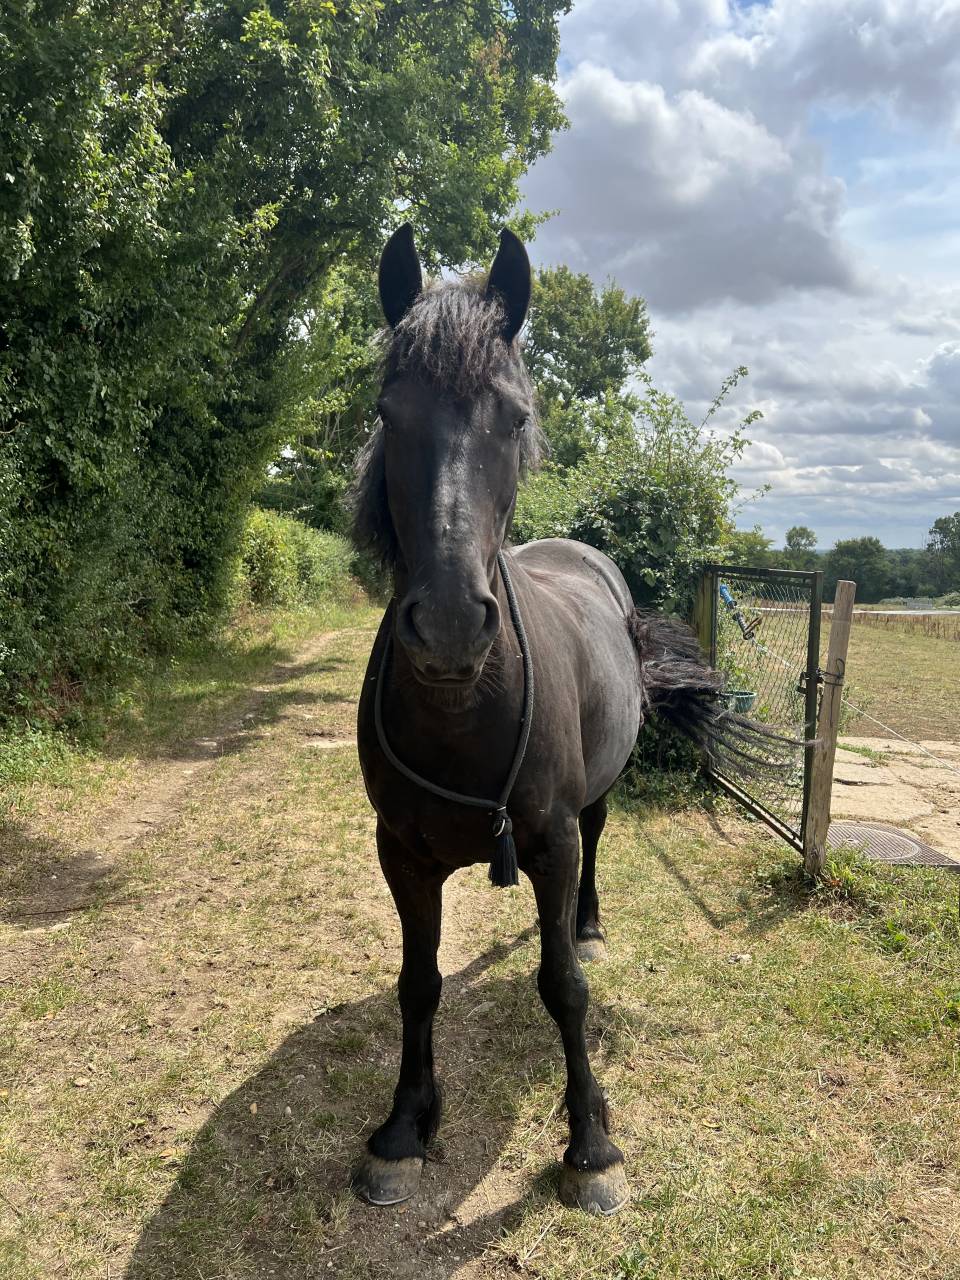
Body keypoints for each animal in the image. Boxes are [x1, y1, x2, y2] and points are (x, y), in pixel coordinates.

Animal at [350, 224, 782, 1215]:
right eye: (391, 413)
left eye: (512, 418)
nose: (449, 625)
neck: (463, 706)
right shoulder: (401, 852)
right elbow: (418, 983)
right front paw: (404, 1125)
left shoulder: (549, 841)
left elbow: (563, 988)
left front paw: (591, 1145)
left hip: (592, 804)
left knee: (596, 850)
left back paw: (587, 921)